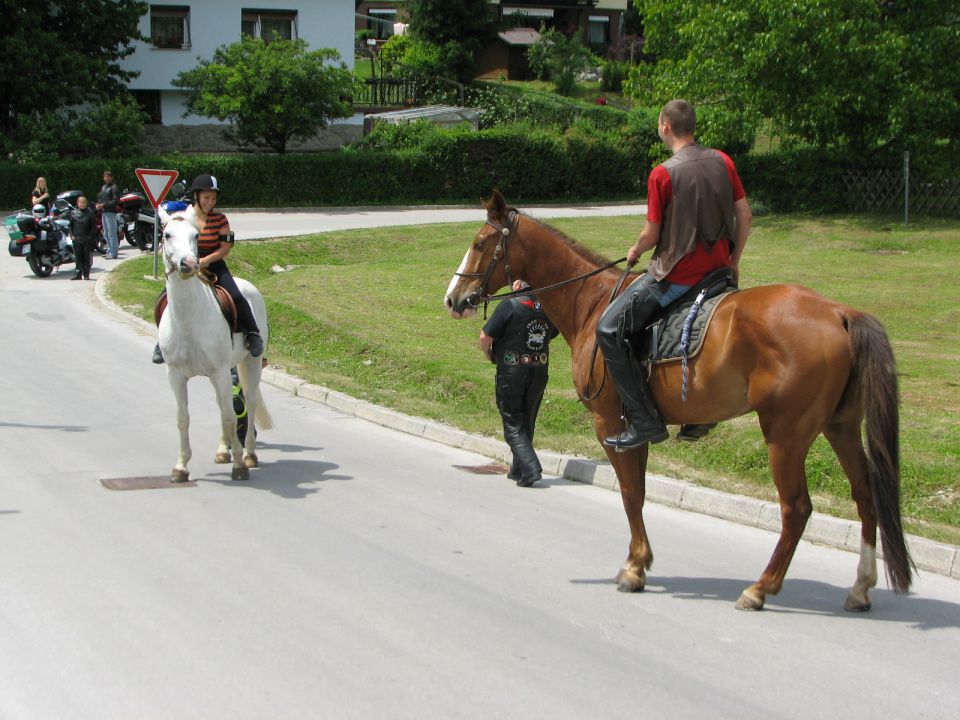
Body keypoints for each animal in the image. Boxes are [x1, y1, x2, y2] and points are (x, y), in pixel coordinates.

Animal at [157, 205, 270, 480]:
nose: (189, 264)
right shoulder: (175, 374)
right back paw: (222, 451)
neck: (189, 320)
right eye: (167, 235)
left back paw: (249, 455)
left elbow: (231, 416)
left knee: (249, 403)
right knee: (222, 405)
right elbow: (183, 418)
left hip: (250, 363)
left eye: (196, 236)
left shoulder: (219, 372)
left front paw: (239, 465)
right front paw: (180, 467)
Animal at [446, 188, 912, 612]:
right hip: (841, 426)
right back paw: (860, 587)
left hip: (785, 434)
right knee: (865, 496)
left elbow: (631, 493)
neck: (591, 301)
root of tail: (839, 312)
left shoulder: (613, 425)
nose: (453, 298)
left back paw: (761, 588)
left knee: (796, 508)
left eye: (480, 243)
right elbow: (638, 491)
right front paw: (639, 562)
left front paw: (635, 567)